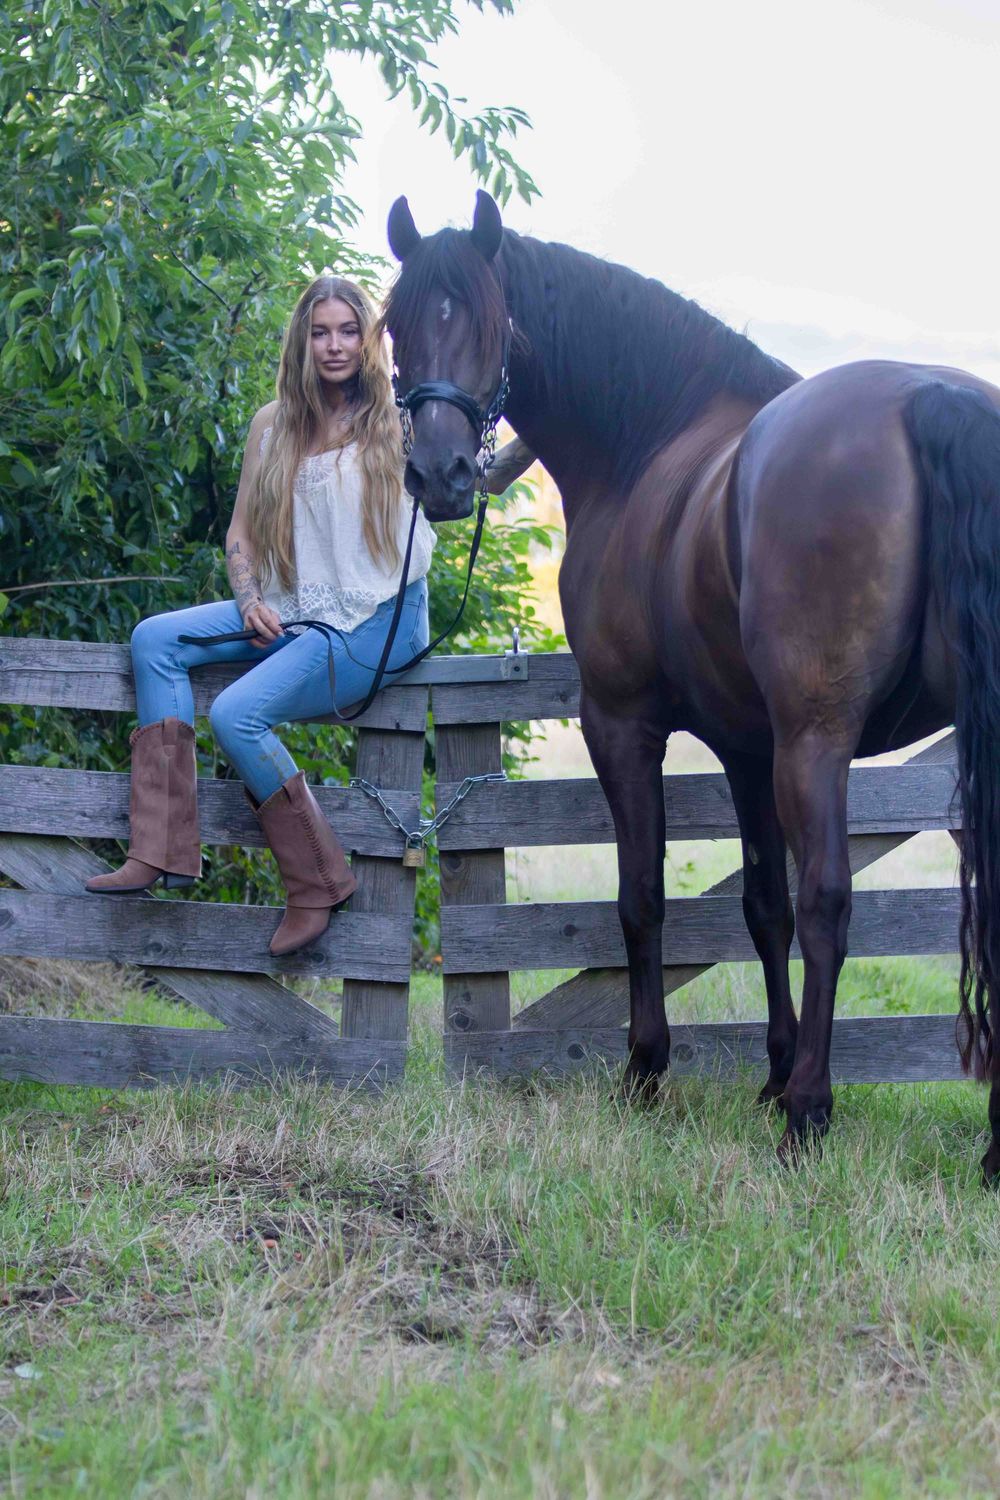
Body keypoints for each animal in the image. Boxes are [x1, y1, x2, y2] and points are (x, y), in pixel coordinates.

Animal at [382, 189, 1000, 1182]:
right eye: (397, 323)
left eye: (485, 316)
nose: (439, 477)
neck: (647, 441)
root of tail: (930, 400)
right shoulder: (750, 747)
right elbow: (760, 906)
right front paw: (770, 1074)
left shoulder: (623, 723)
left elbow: (645, 900)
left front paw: (647, 1071)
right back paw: (982, 1145)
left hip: (820, 740)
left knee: (829, 902)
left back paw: (811, 1117)